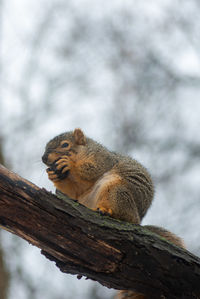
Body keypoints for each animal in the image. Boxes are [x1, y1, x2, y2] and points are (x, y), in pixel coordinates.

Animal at [41, 128, 185, 299]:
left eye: (65, 145)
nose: (43, 158)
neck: (83, 151)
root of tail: (138, 221)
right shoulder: (77, 190)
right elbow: (74, 191)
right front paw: (54, 176)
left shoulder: (103, 159)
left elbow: (92, 171)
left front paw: (69, 164)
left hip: (117, 190)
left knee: (123, 214)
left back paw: (107, 211)